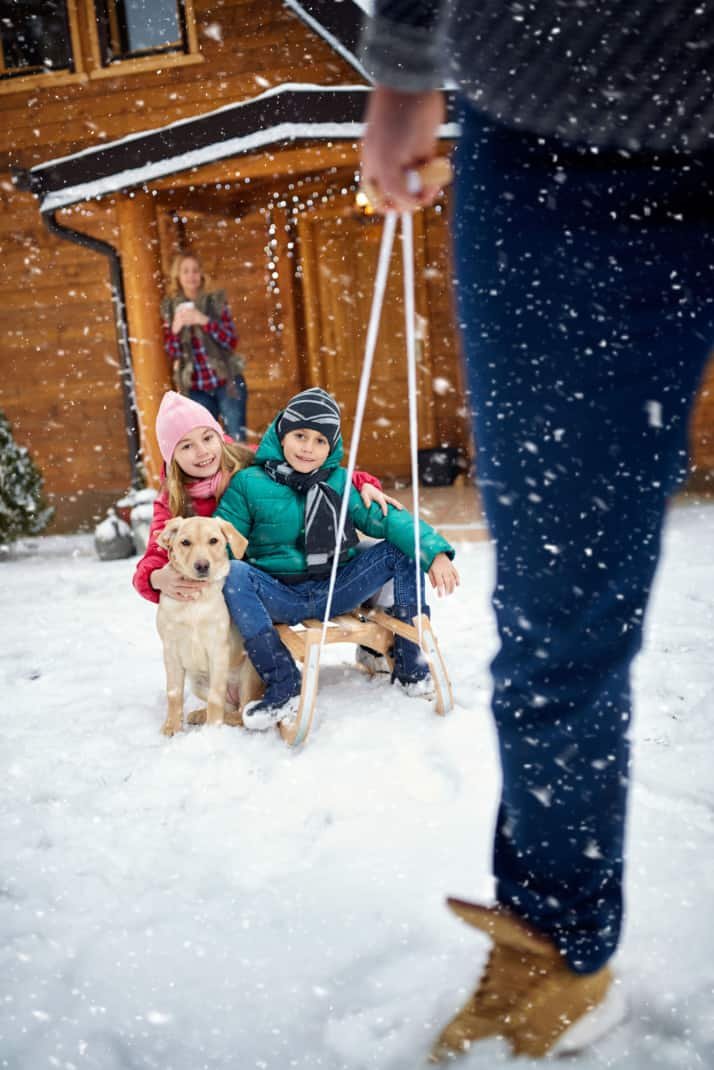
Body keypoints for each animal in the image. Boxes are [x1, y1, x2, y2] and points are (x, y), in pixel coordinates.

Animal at [155, 515, 264, 736]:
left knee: (241, 713)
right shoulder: (170, 650)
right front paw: (172, 726)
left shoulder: (218, 650)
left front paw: (213, 730)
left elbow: (216, 698)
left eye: (213, 541)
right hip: (197, 683)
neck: (195, 600)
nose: (202, 565)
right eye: (185, 542)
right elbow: (173, 693)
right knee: (229, 707)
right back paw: (199, 714)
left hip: (248, 673)